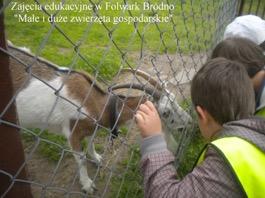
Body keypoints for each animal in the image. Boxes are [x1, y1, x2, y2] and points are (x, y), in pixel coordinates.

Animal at [7, 42, 191, 193]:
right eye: (166, 112)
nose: (188, 123)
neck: (95, 103)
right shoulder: (72, 132)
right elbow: (81, 159)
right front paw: (87, 185)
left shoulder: (90, 127)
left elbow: (91, 141)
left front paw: (96, 158)